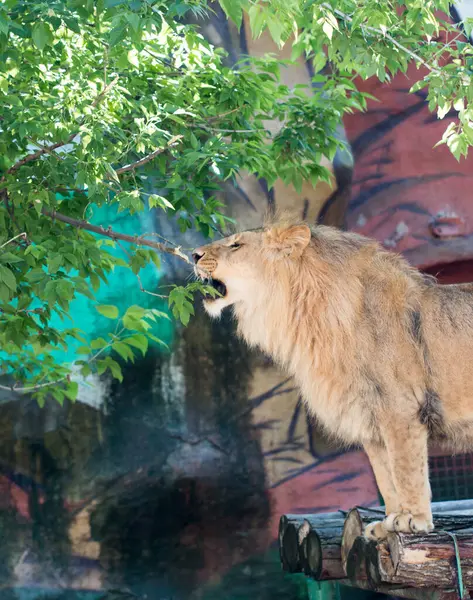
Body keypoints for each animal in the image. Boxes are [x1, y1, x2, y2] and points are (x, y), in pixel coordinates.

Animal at [193, 220, 473, 540]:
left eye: (236, 245)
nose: (193, 254)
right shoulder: (371, 418)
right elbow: (386, 476)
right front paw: (388, 522)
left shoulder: (399, 409)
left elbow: (406, 469)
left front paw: (413, 519)